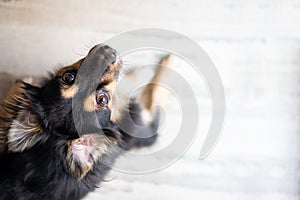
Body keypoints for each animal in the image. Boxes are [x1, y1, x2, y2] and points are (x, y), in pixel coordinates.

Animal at [0, 44, 170, 200]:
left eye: (68, 77)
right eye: (102, 99)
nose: (106, 51)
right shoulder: (147, 128)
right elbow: (155, 91)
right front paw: (167, 62)